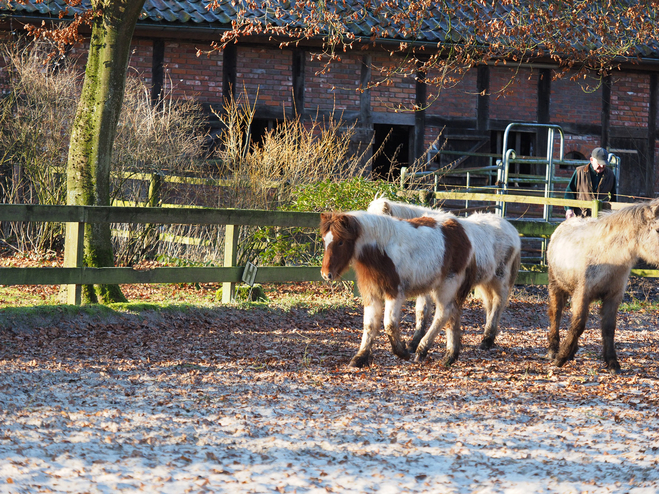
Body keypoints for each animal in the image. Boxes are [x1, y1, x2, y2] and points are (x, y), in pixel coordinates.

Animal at [320, 208, 474, 366]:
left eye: (340, 242)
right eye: (324, 240)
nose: (326, 275)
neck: (380, 251)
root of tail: (461, 229)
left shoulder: (394, 293)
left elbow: (390, 324)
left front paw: (402, 352)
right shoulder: (371, 293)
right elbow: (369, 325)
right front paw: (360, 357)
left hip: (447, 285)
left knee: (443, 314)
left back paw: (422, 350)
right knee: (453, 314)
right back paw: (450, 356)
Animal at [368, 197, 524, 352]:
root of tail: (511, 228)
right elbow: (421, 311)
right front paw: (414, 343)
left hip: (500, 278)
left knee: (498, 302)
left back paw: (487, 340)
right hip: (486, 282)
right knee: (490, 304)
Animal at [548, 199, 659, 372]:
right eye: (658, 230)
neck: (608, 256)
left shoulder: (613, 297)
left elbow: (608, 328)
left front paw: (612, 362)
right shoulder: (583, 294)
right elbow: (578, 324)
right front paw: (561, 357)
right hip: (556, 286)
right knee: (556, 314)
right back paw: (554, 350)